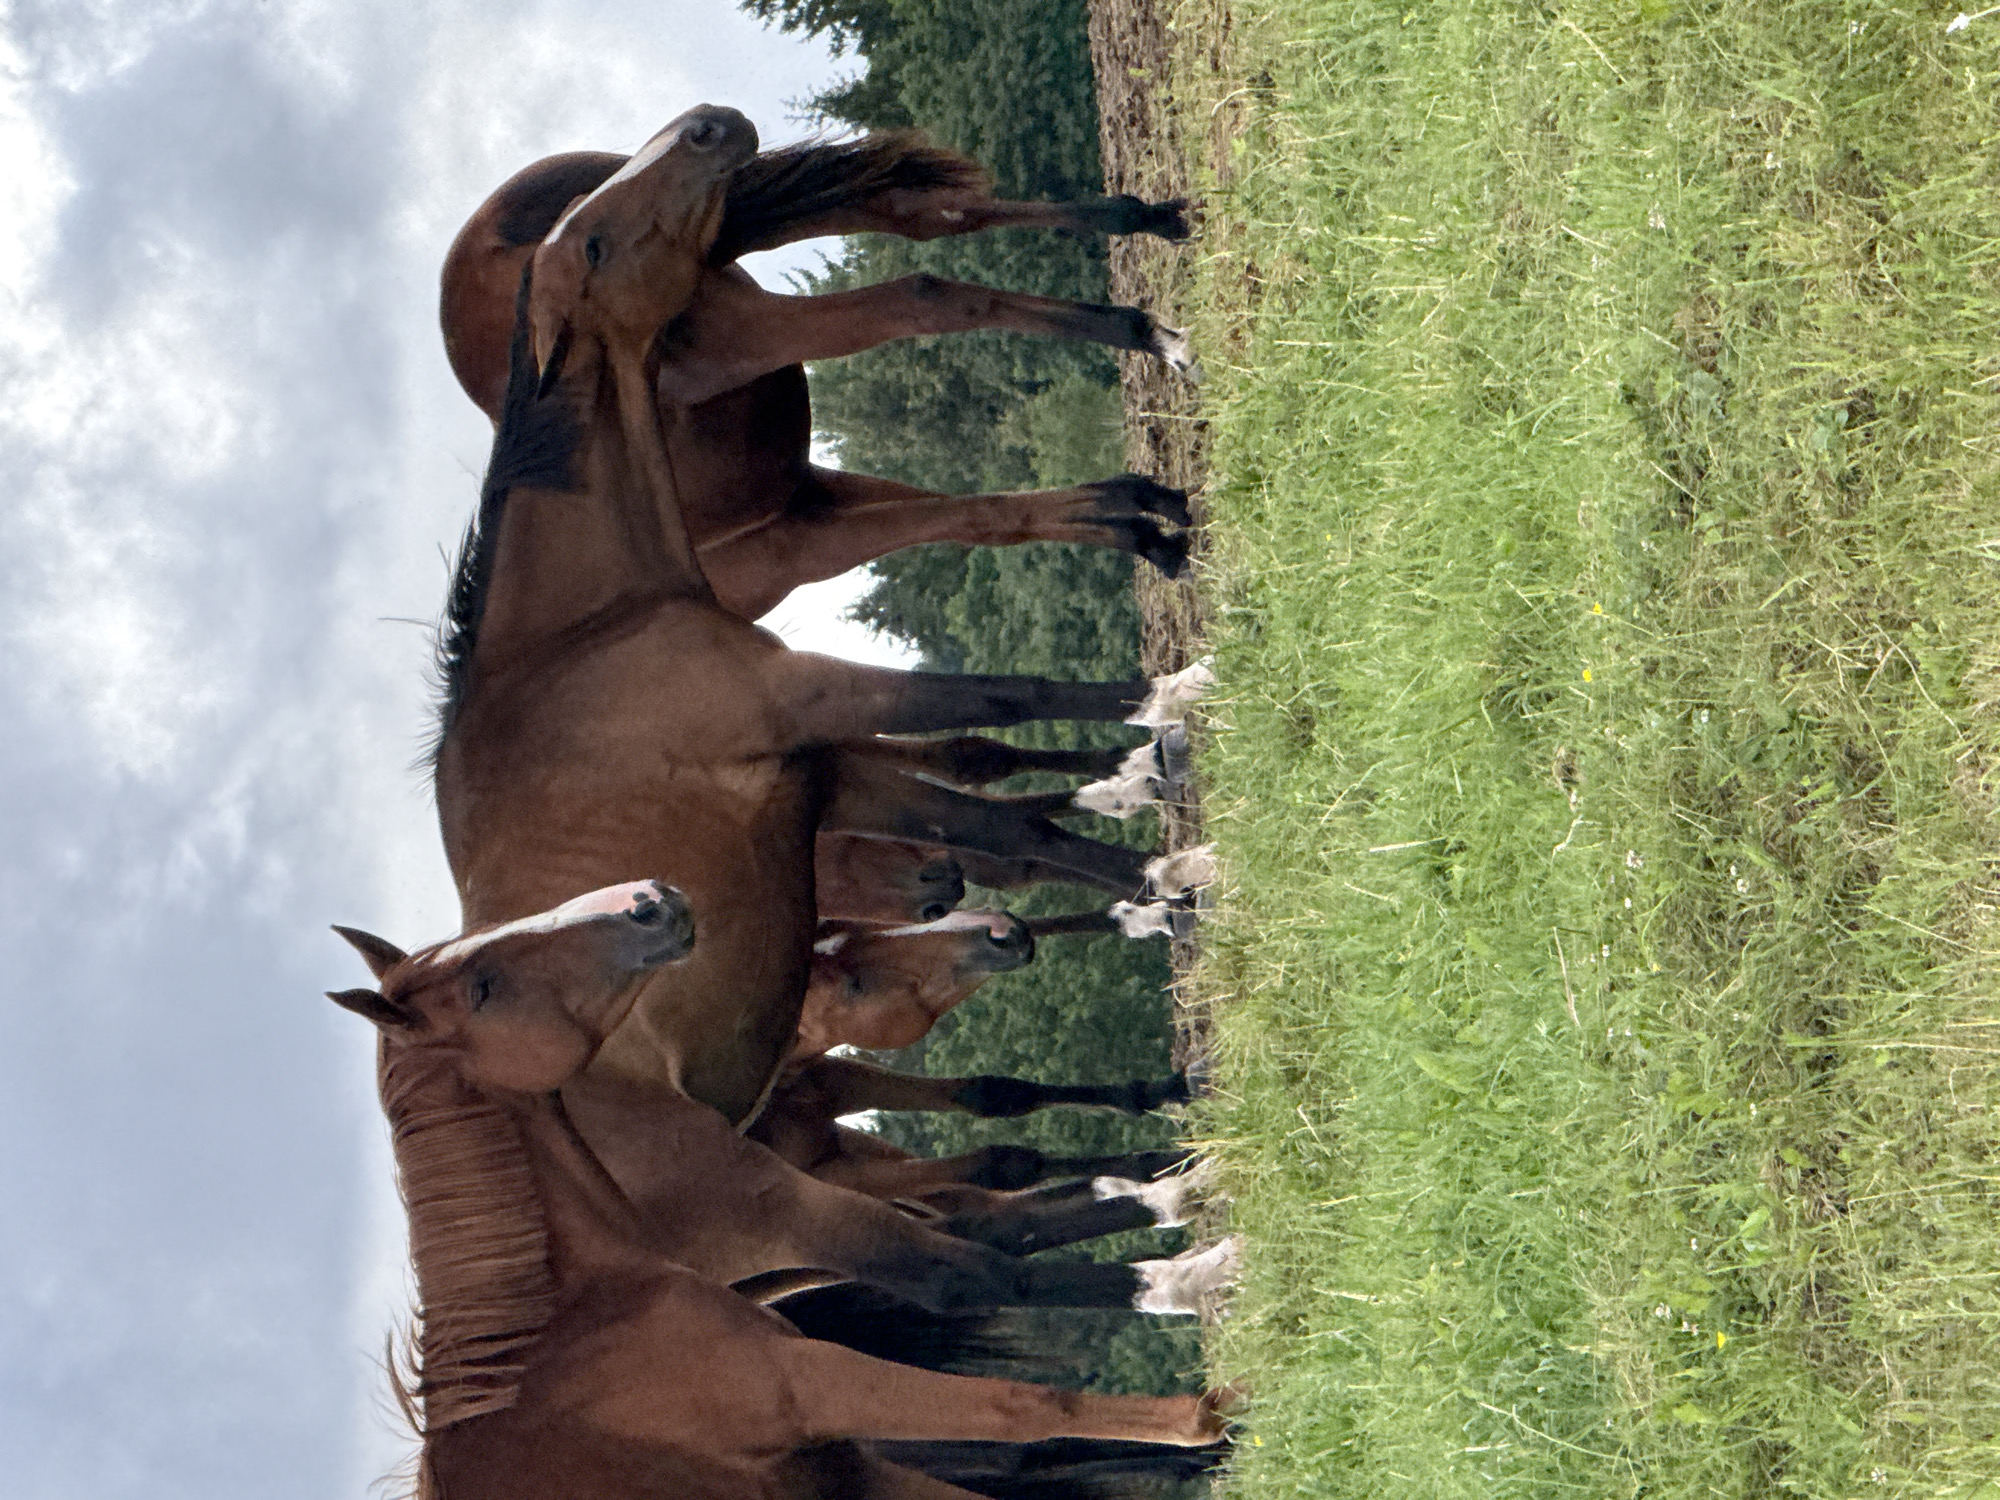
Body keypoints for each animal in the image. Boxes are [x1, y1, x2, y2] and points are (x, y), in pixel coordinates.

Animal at [327, 881, 1233, 1500]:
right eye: (483, 984)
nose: (645, 901)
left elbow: (1002, 1164)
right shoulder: (802, 1258)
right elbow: (997, 1296)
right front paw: (1201, 1286)